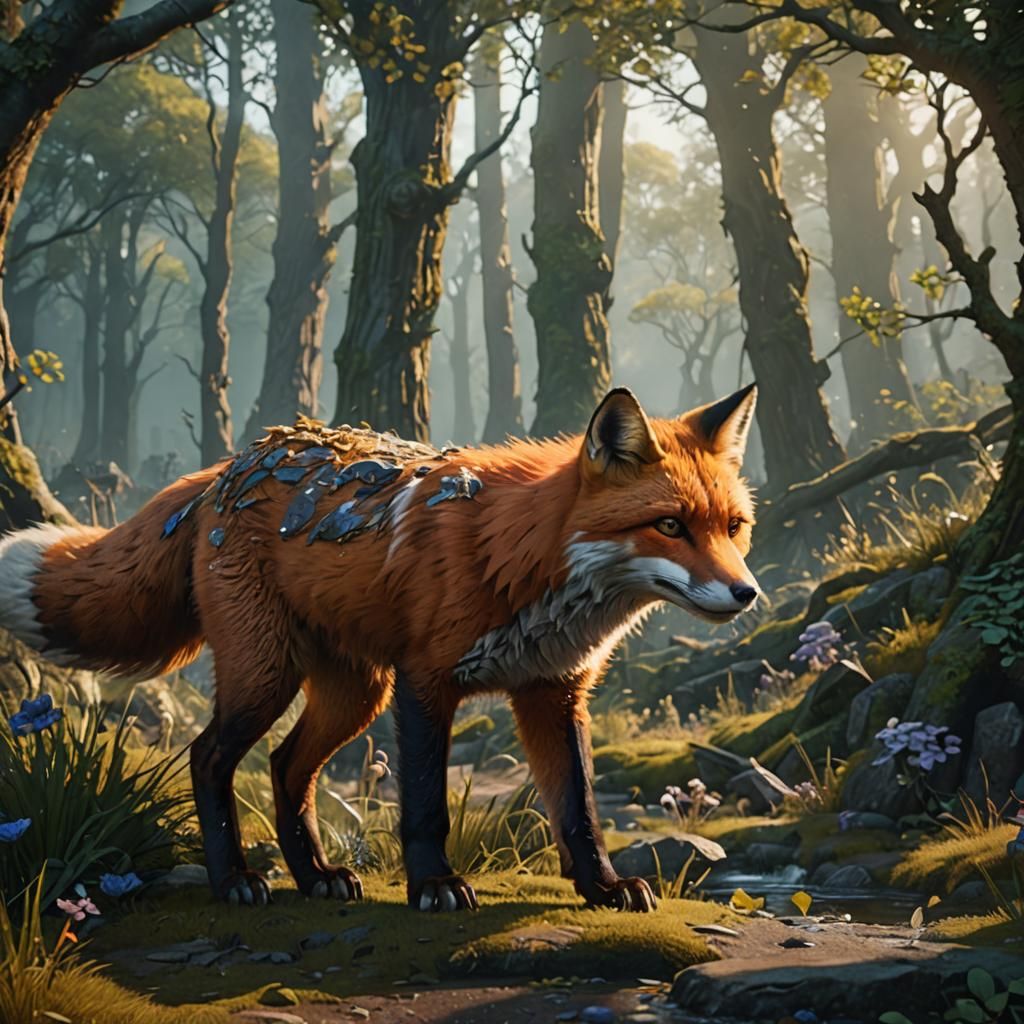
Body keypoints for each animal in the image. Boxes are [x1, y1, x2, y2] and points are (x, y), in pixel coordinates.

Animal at [0, 385, 760, 914]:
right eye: (669, 526)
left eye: (733, 527)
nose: (747, 593)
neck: (523, 557)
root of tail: (231, 465)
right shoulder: (426, 683)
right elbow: (425, 805)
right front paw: (435, 886)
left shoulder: (553, 691)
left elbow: (579, 810)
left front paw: (603, 888)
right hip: (268, 677)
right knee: (208, 755)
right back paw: (235, 879)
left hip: (355, 693)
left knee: (285, 766)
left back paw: (314, 876)